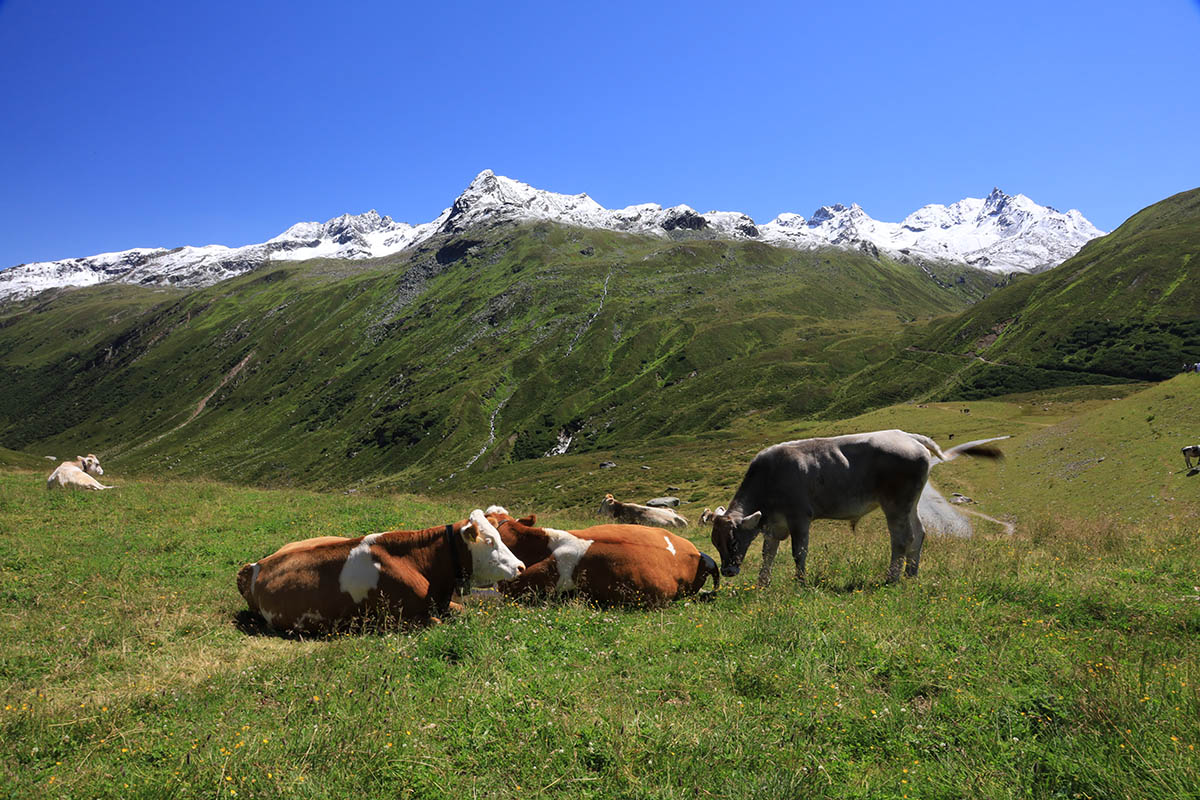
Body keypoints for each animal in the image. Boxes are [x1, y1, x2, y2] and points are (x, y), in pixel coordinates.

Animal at [705, 429, 1008, 585]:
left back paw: (892, 578)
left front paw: (800, 584)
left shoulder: (800, 518)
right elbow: (768, 554)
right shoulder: (774, 524)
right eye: (715, 542)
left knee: (902, 538)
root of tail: (907, 436)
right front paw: (762, 584)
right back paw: (911, 574)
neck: (769, 478)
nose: (728, 571)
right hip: (911, 503)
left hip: (895, 503)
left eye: (733, 541)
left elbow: (798, 553)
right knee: (920, 533)